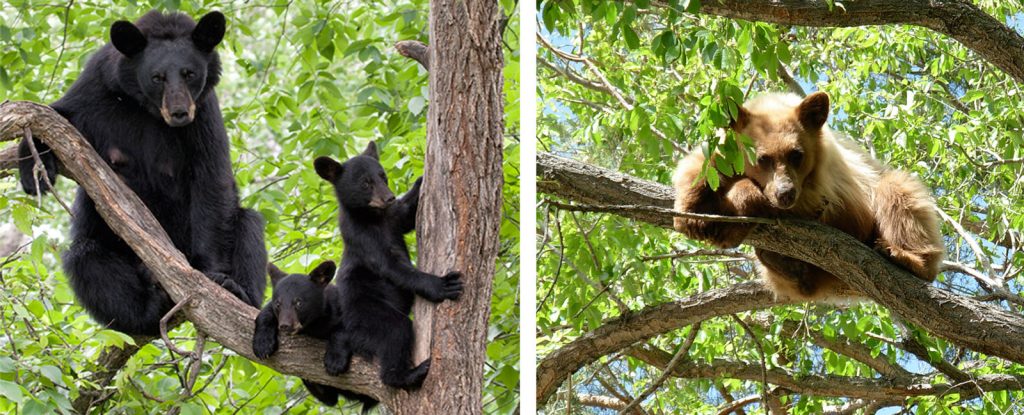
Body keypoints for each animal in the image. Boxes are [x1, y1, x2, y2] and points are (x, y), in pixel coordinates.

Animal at [16, 11, 267, 335]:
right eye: (157, 77)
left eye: (189, 73)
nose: (179, 113)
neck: (147, 109)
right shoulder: (97, 87)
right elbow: (57, 115)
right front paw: (32, 169)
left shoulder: (204, 113)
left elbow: (211, 178)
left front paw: (213, 276)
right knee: (86, 258)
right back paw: (147, 308)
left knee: (249, 225)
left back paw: (238, 290)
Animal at [252, 262, 377, 412]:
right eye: (278, 303)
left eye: (298, 302)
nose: (285, 325)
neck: (314, 324)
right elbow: (265, 313)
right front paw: (262, 345)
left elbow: (346, 330)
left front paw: (334, 361)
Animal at [313, 141, 464, 389]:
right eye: (366, 183)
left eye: (383, 176)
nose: (389, 197)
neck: (374, 217)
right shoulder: (363, 238)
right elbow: (392, 266)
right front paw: (442, 285)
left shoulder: (393, 219)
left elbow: (407, 215)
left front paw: (421, 180)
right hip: (367, 312)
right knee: (396, 331)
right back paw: (408, 374)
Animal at [672, 92, 944, 301]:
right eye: (763, 158)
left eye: (796, 154)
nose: (785, 193)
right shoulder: (725, 150)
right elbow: (699, 164)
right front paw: (691, 217)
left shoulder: (823, 186)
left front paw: (735, 217)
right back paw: (784, 265)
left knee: (898, 193)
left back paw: (905, 257)